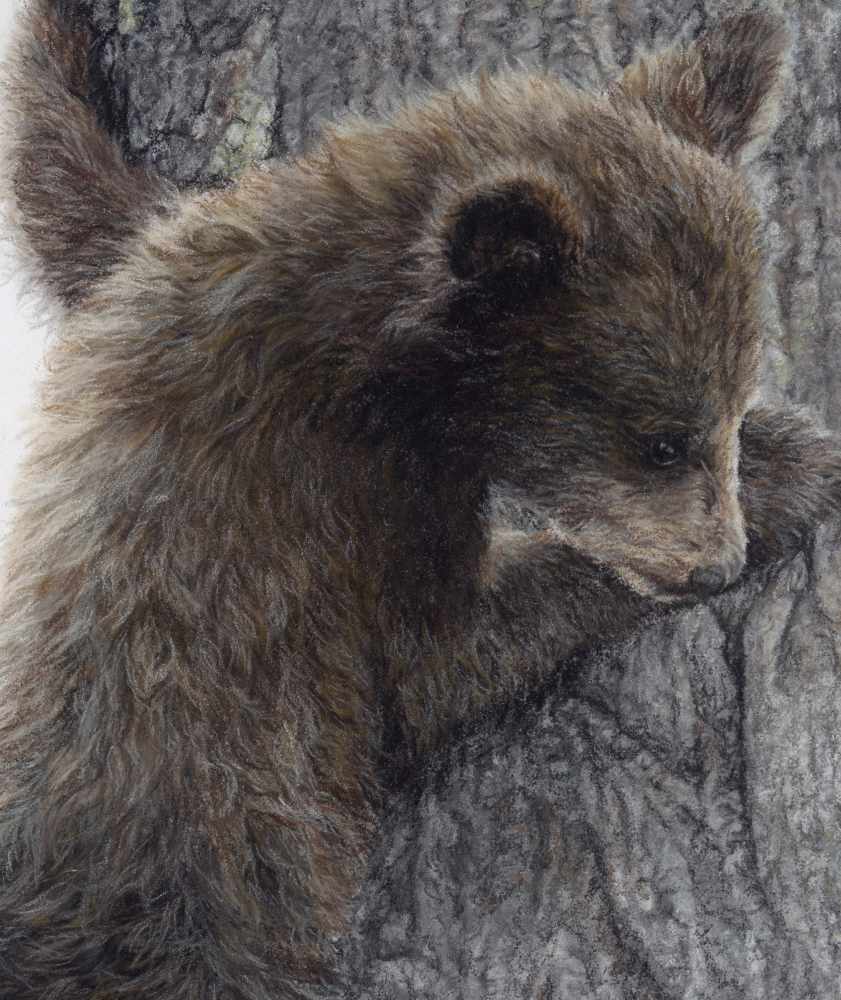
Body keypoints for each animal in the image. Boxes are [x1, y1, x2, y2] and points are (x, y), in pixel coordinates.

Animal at [2, 2, 841, 997]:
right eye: (660, 441)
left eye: (729, 405)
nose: (716, 565)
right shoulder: (318, 507)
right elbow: (439, 654)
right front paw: (796, 464)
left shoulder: (170, 275)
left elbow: (76, 196)